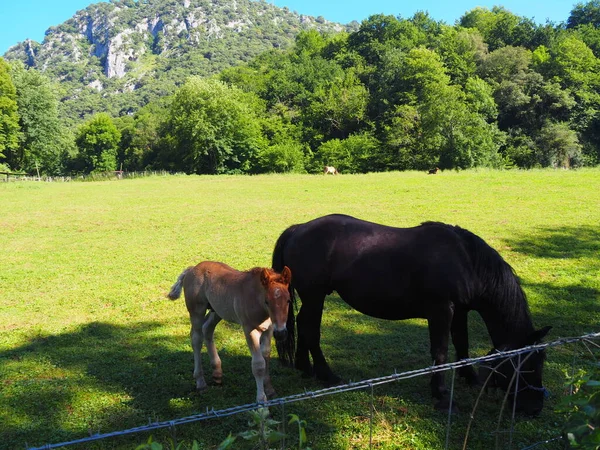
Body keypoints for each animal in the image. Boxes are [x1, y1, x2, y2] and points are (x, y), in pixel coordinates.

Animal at [274, 214, 552, 414]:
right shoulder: (441, 311)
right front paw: (442, 396)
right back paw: (327, 376)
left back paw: (304, 368)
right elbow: (441, 352)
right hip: (315, 296)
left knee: (303, 326)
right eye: (526, 364)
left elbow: (461, 346)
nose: (535, 407)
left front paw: (469, 378)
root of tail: (298, 229)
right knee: (311, 330)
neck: (465, 260)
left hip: (312, 298)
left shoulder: (460, 311)